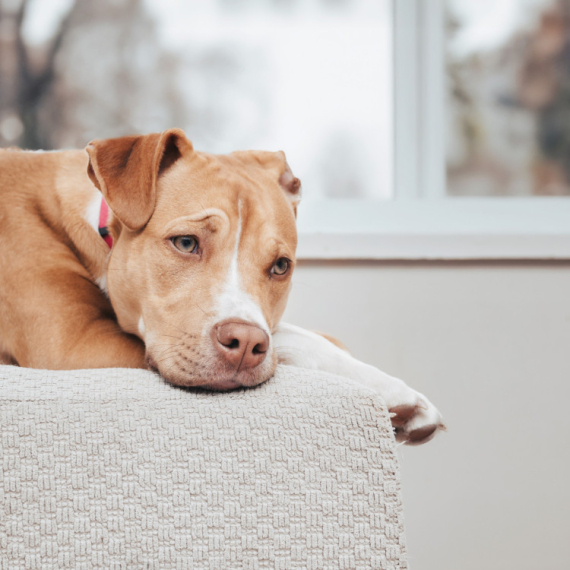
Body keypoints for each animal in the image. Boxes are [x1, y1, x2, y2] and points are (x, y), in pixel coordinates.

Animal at [0, 129, 442, 444]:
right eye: (185, 243)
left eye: (281, 266)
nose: (246, 344)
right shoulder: (72, 342)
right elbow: (289, 338)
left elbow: (293, 332)